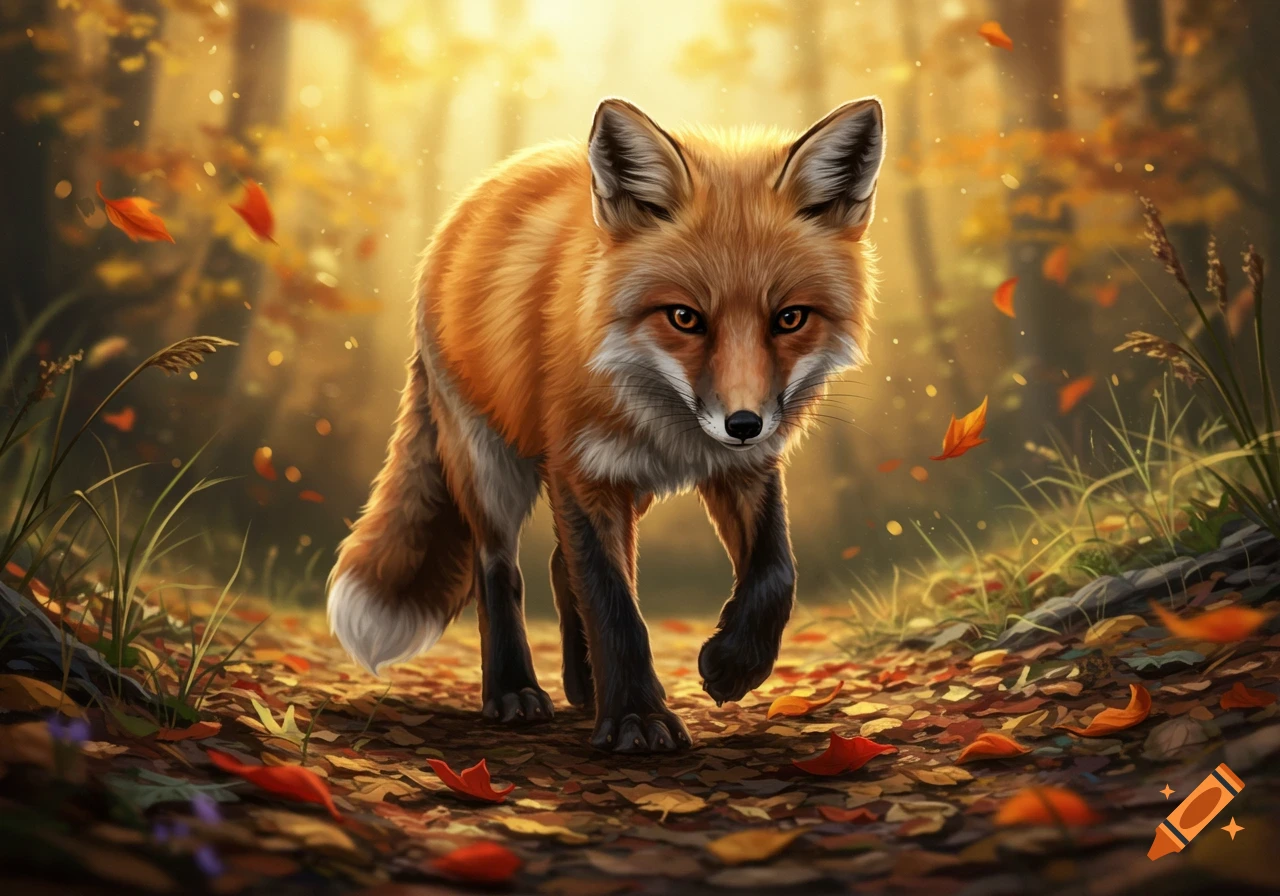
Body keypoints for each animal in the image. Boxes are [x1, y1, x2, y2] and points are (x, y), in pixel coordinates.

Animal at [327, 96, 885, 753]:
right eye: (684, 317)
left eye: (790, 318)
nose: (744, 422)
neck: (665, 422)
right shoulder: (584, 471)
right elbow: (614, 605)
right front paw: (638, 718)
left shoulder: (743, 469)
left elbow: (777, 571)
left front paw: (733, 664)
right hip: (490, 464)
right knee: (500, 572)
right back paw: (513, 691)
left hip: (624, 489)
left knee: (556, 565)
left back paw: (584, 686)